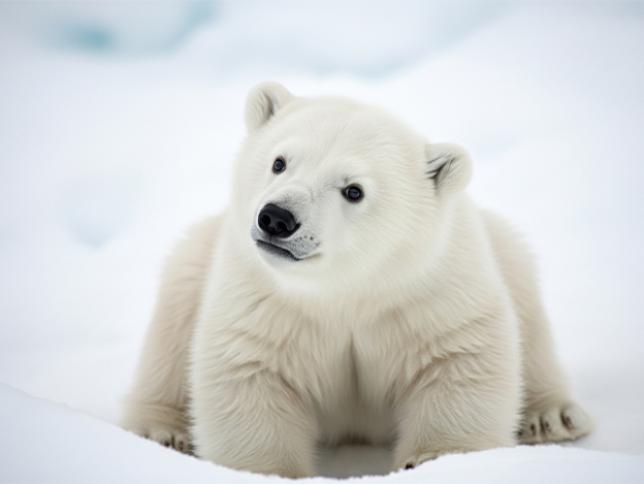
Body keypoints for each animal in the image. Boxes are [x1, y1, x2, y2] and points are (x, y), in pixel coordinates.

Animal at [120, 82, 593, 477]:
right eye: (279, 162)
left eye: (353, 190)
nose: (277, 218)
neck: (347, 289)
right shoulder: (261, 296)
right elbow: (249, 372)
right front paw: (269, 472)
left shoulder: (434, 290)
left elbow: (458, 363)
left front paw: (434, 459)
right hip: (200, 256)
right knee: (175, 308)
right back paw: (160, 430)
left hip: (502, 252)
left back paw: (552, 417)